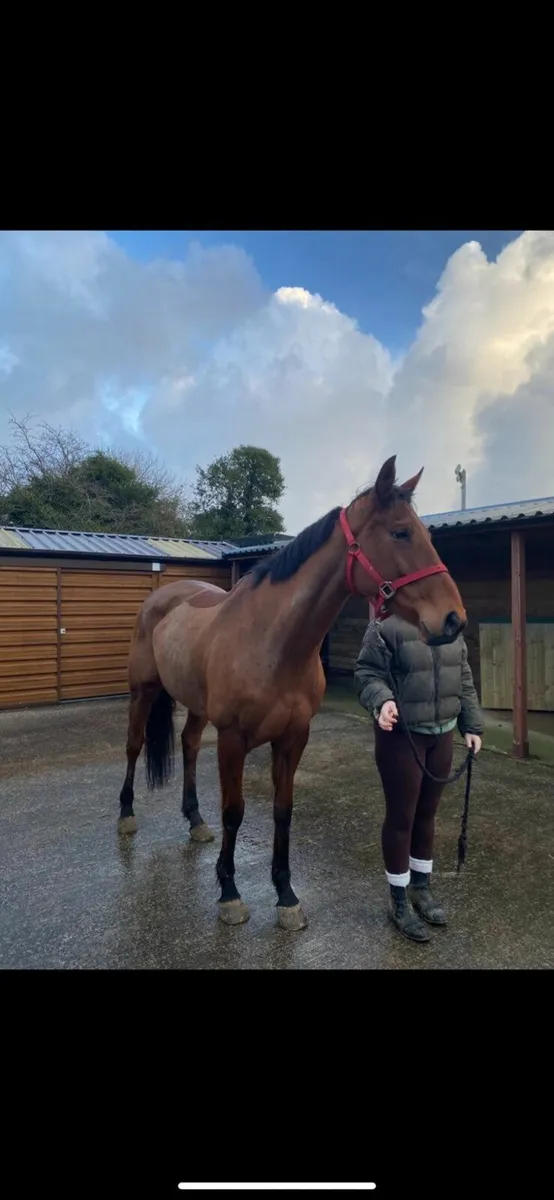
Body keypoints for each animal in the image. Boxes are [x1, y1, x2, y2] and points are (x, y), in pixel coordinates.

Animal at [117, 455, 467, 932]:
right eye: (400, 532)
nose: (454, 619)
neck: (273, 642)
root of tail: (164, 596)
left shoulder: (293, 738)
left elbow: (283, 810)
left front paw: (285, 895)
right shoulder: (233, 739)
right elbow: (235, 811)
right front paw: (229, 893)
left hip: (197, 706)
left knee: (188, 745)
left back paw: (195, 820)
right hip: (144, 691)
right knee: (134, 746)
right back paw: (126, 815)